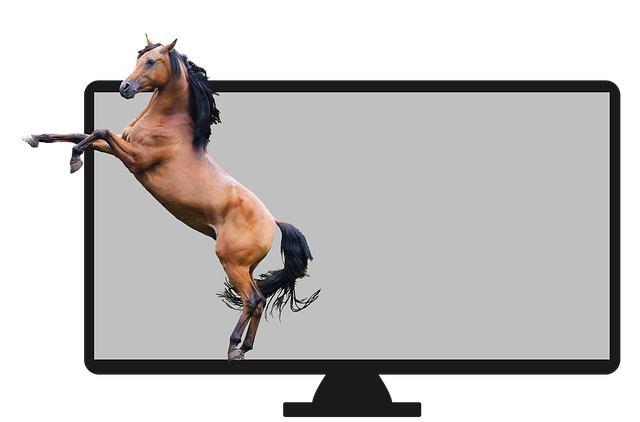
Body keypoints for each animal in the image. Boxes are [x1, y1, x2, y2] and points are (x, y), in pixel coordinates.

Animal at [20, 34, 320, 361]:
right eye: (138, 59)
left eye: (151, 61)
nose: (125, 88)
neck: (169, 124)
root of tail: (273, 221)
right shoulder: (119, 147)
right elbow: (81, 134)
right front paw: (34, 138)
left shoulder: (134, 159)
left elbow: (98, 130)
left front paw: (75, 161)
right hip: (247, 267)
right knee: (259, 300)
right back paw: (246, 347)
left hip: (232, 263)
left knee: (252, 299)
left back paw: (233, 347)